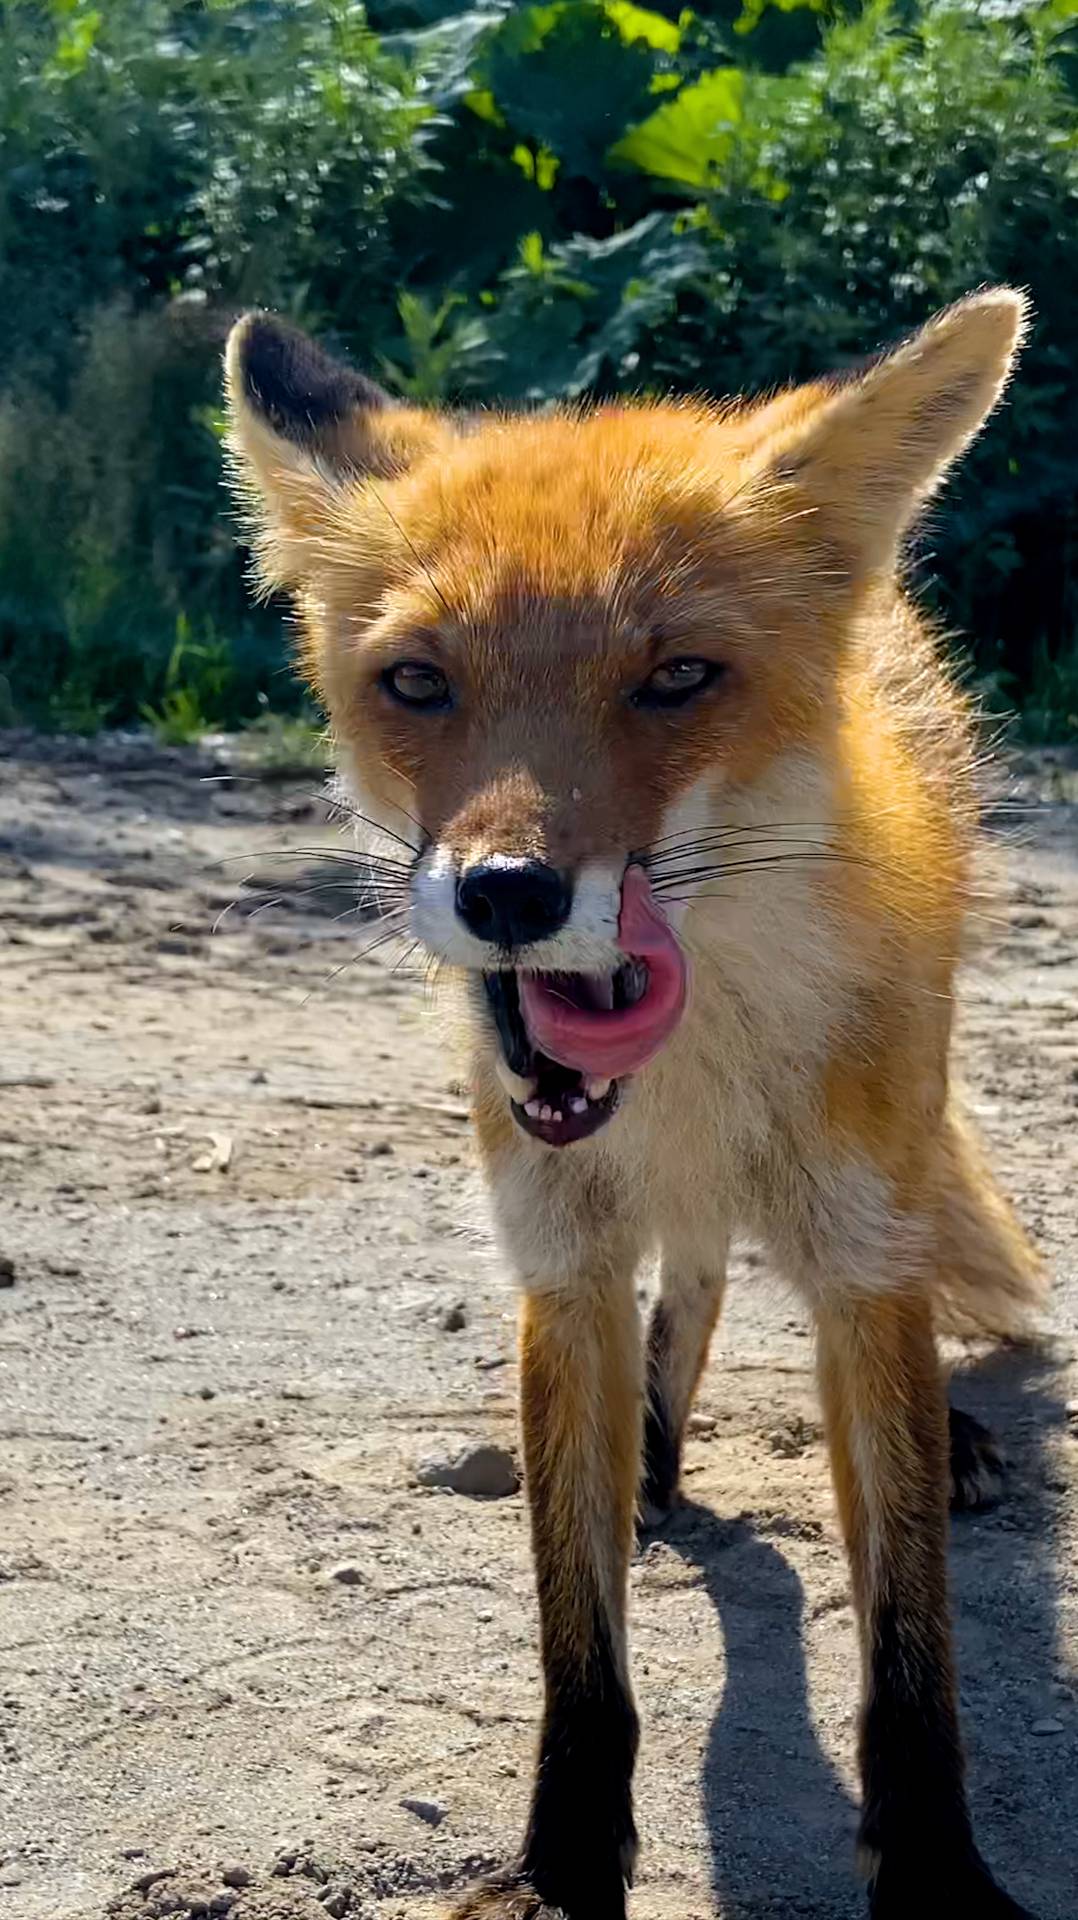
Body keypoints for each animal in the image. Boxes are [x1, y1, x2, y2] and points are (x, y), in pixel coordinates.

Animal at [224, 288, 1045, 1920]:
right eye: (417, 682)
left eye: (675, 678)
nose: (507, 894)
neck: (688, 1086)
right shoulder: (564, 1264)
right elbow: (578, 1644)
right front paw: (556, 1868)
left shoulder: (859, 1252)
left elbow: (909, 1640)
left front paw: (932, 1866)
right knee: (703, 1276)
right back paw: (662, 1461)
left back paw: (959, 1441)